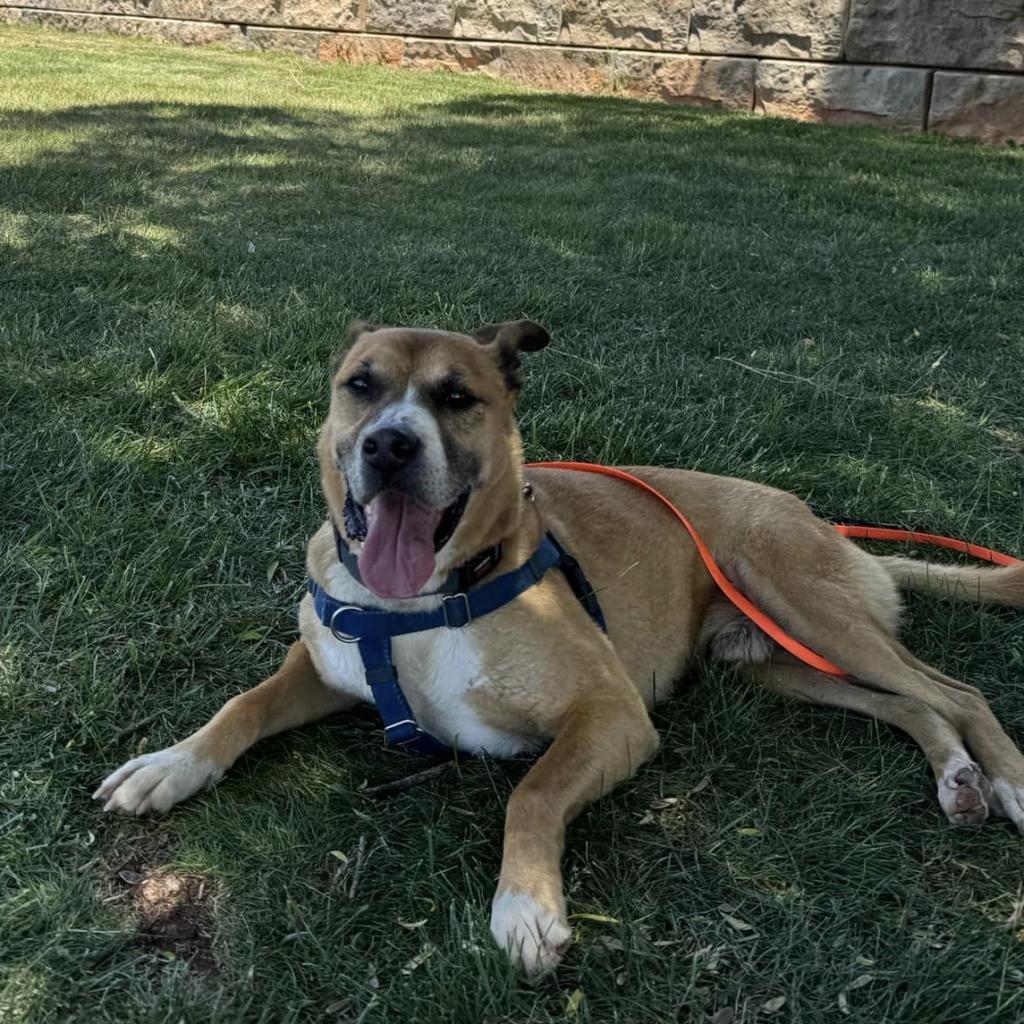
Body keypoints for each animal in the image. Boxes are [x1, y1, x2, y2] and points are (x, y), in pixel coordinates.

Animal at [94, 317, 1024, 966]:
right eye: (360, 385)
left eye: (458, 397)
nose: (389, 444)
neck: (428, 599)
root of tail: (826, 522)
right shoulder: (320, 664)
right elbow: (242, 705)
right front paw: (171, 765)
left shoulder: (609, 716)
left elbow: (532, 793)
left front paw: (528, 906)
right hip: (782, 667)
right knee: (913, 706)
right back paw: (959, 779)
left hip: (803, 606)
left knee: (956, 691)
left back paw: (1007, 780)